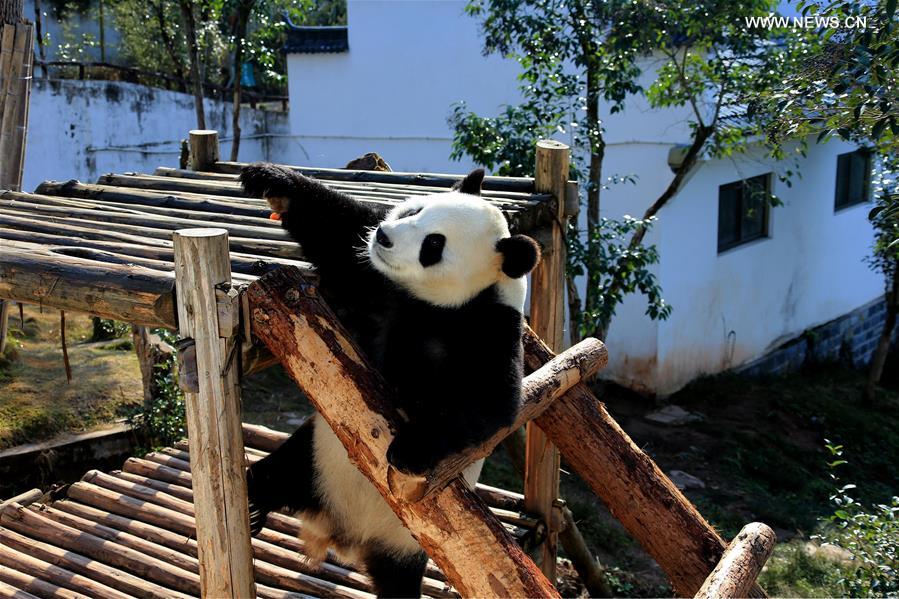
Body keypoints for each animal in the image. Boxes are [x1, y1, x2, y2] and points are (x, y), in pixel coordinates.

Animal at [239, 163, 540, 598]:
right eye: (414, 210)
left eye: (434, 244)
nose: (383, 236)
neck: (437, 303)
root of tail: (345, 535)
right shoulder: (379, 282)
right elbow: (340, 236)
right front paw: (271, 180)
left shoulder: (489, 330)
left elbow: (488, 407)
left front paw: (410, 450)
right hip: (318, 457)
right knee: (281, 470)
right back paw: (252, 503)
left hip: (403, 543)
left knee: (397, 581)